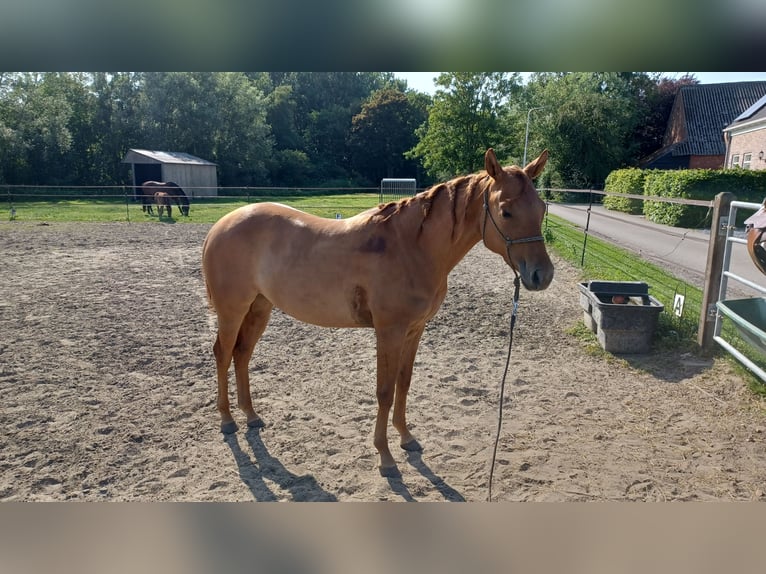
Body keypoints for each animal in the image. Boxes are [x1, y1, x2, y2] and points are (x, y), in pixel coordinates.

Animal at [201, 148, 554, 477]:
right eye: (506, 211)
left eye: (541, 208)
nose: (542, 275)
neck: (411, 248)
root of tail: (220, 226)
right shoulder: (389, 332)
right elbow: (384, 391)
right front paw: (385, 456)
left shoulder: (415, 330)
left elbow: (404, 383)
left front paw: (406, 437)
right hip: (233, 311)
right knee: (223, 353)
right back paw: (227, 420)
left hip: (259, 308)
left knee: (242, 354)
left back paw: (251, 416)